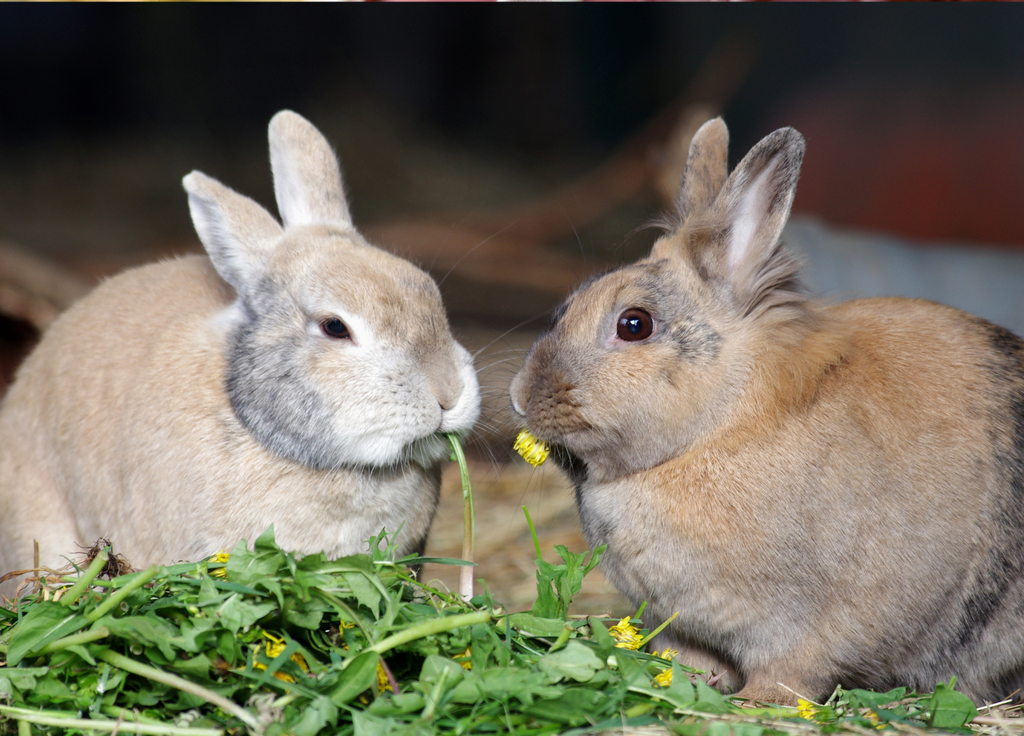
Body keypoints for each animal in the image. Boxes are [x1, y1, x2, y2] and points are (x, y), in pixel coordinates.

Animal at [509, 118, 1024, 704]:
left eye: (634, 324)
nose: (520, 396)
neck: (719, 427)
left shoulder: (806, 633)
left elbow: (790, 674)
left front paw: (754, 705)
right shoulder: (682, 626)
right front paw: (689, 684)